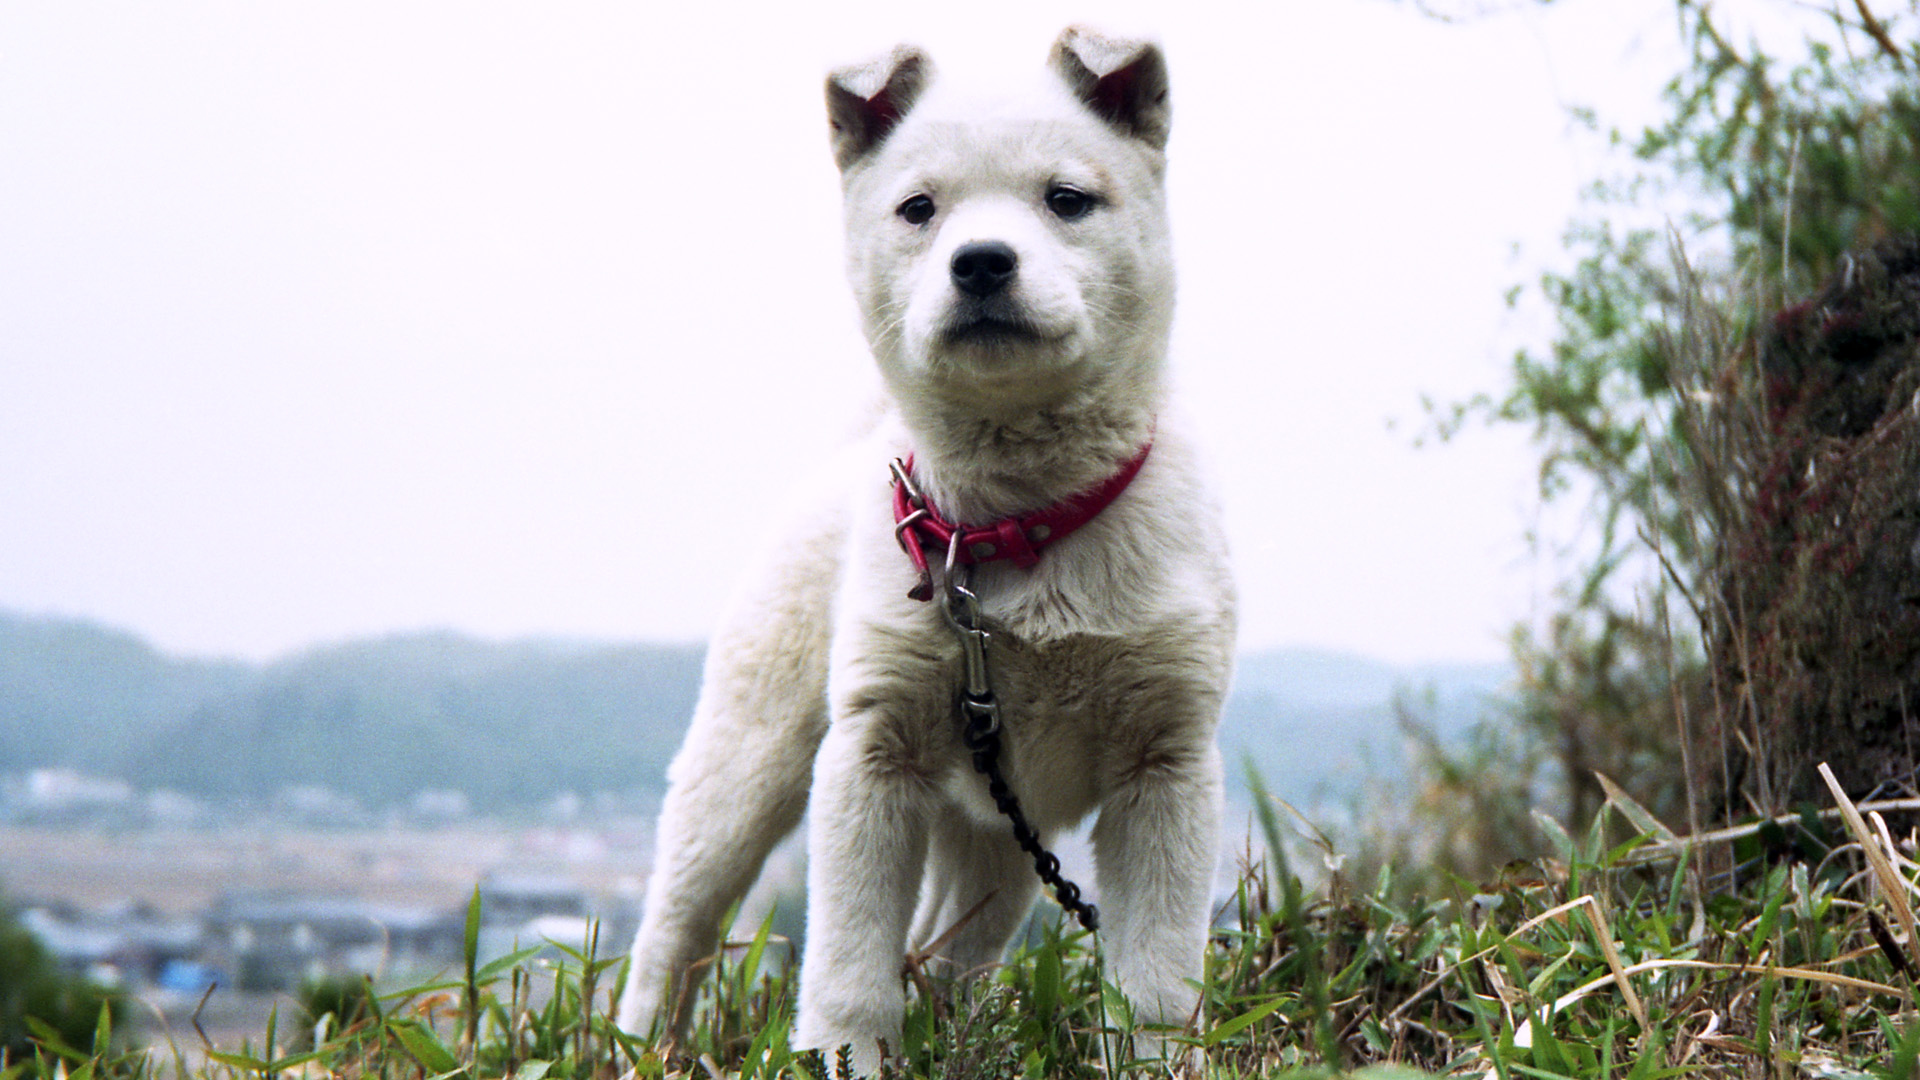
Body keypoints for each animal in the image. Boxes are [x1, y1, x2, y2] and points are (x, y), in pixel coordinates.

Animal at [622, 25, 1236, 1068]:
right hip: (748, 761)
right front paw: (846, 1059)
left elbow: (1156, 979)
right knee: (675, 930)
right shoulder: (874, 756)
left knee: (947, 949)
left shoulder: (1168, 764)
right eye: (918, 209)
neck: (1017, 523)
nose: (981, 262)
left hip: (1000, 840)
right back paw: (630, 1045)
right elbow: (848, 964)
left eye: (1067, 199)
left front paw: (1155, 1061)